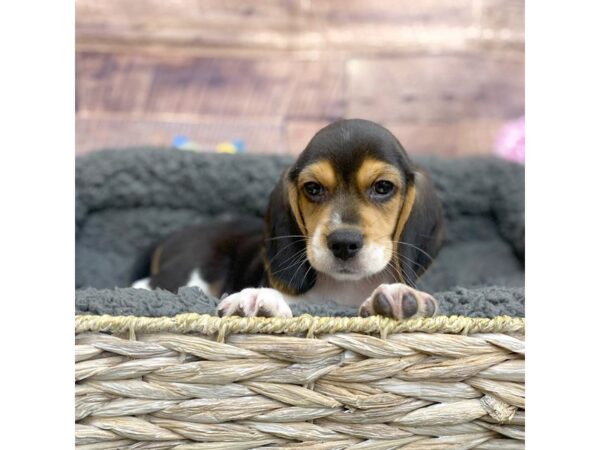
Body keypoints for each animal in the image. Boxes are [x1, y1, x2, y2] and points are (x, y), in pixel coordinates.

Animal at [136, 118, 446, 318]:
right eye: (313, 188)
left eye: (383, 187)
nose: (343, 243)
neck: (343, 287)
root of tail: (171, 237)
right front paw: (255, 298)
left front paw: (400, 297)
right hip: (190, 273)